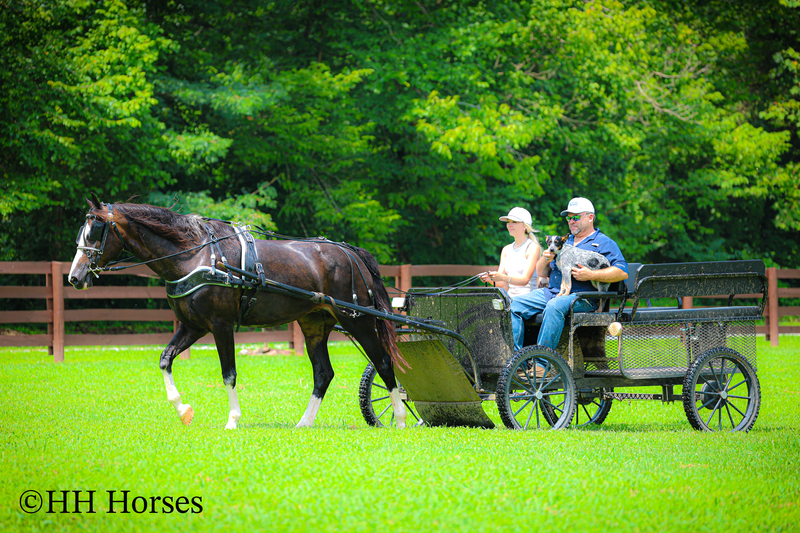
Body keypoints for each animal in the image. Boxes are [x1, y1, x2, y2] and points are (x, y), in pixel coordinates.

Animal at [68, 196, 407, 429]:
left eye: (95, 231)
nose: (75, 277)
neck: (195, 254)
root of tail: (350, 252)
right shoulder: (192, 326)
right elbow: (165, 360)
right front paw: (183, 410)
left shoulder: (221, 325)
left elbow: (228, 373)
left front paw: (232, 419)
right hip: (315, 324)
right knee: (323, 373)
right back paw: (304, 423)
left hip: (358, 319)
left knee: (383, 362)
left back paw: (402, 417)